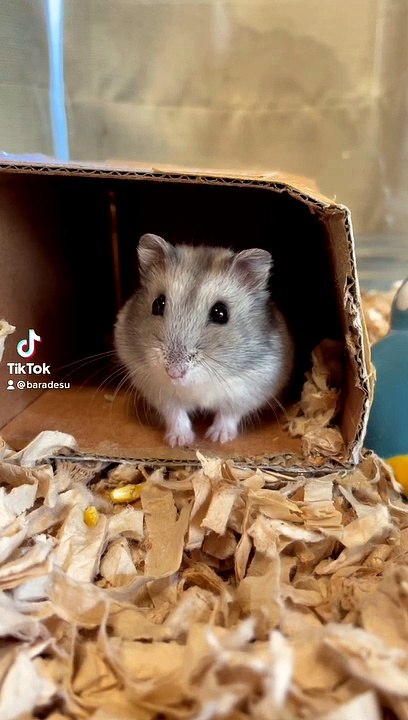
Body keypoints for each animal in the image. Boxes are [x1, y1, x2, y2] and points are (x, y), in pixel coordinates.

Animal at [114, 233, 294, 447]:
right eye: (158, 304)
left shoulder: (249, 389)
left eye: (220, 313)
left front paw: (217, 438)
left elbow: (229, 414)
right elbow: (175, 413)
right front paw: (179, 442)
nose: (174, 373)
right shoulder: (156, 388)